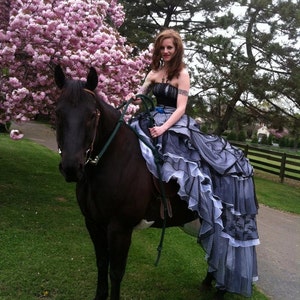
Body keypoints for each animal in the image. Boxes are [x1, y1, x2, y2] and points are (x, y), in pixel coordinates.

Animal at [54, 66, 206, 300]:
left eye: (92, 115)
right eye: (58, 113)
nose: (71, 167)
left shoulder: (120, 229)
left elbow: (116, 272)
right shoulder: (93, 223)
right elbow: (101, 263)